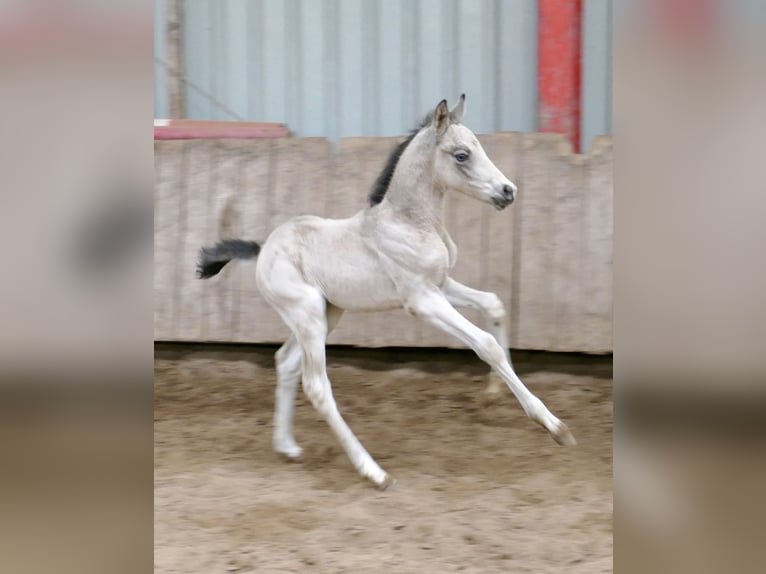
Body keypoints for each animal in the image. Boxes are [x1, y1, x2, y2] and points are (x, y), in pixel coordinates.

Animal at [197, 95, 575, 489]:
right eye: (461, 154)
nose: (508, 191)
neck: (409, 222)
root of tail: (263, 248)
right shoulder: (421, 300)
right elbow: (485, 344)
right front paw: (553, 425)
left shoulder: (441, 285)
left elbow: (494, 305)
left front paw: (493, 395)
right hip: (308, 316)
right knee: (316, 385)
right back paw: (373, 471)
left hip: (328, 314)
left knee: (285, 362)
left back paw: (288, 447)